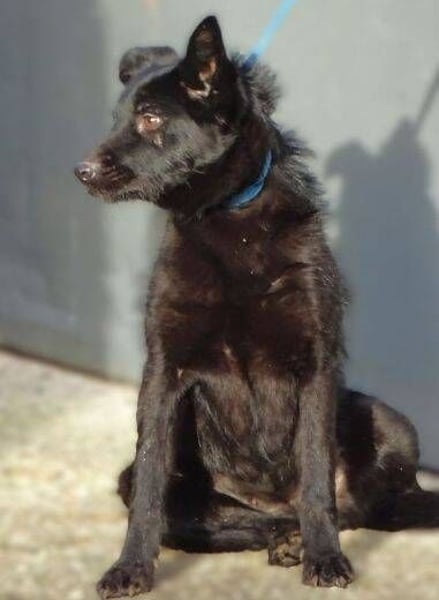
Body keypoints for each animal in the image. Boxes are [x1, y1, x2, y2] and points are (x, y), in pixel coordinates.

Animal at [75, 16, 439, 599]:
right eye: (117, 118)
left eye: (151, 118)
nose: (80, 171)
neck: (231, 225)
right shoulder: (163, 371)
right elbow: (152, 483)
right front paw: (130, 567)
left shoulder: (315, 365)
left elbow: (316, 477)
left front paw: (325, 557)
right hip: (157, 480)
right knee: (225, 519)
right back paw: (281, 537)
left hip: (392, 423)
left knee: (355, 507)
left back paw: (304, 537)